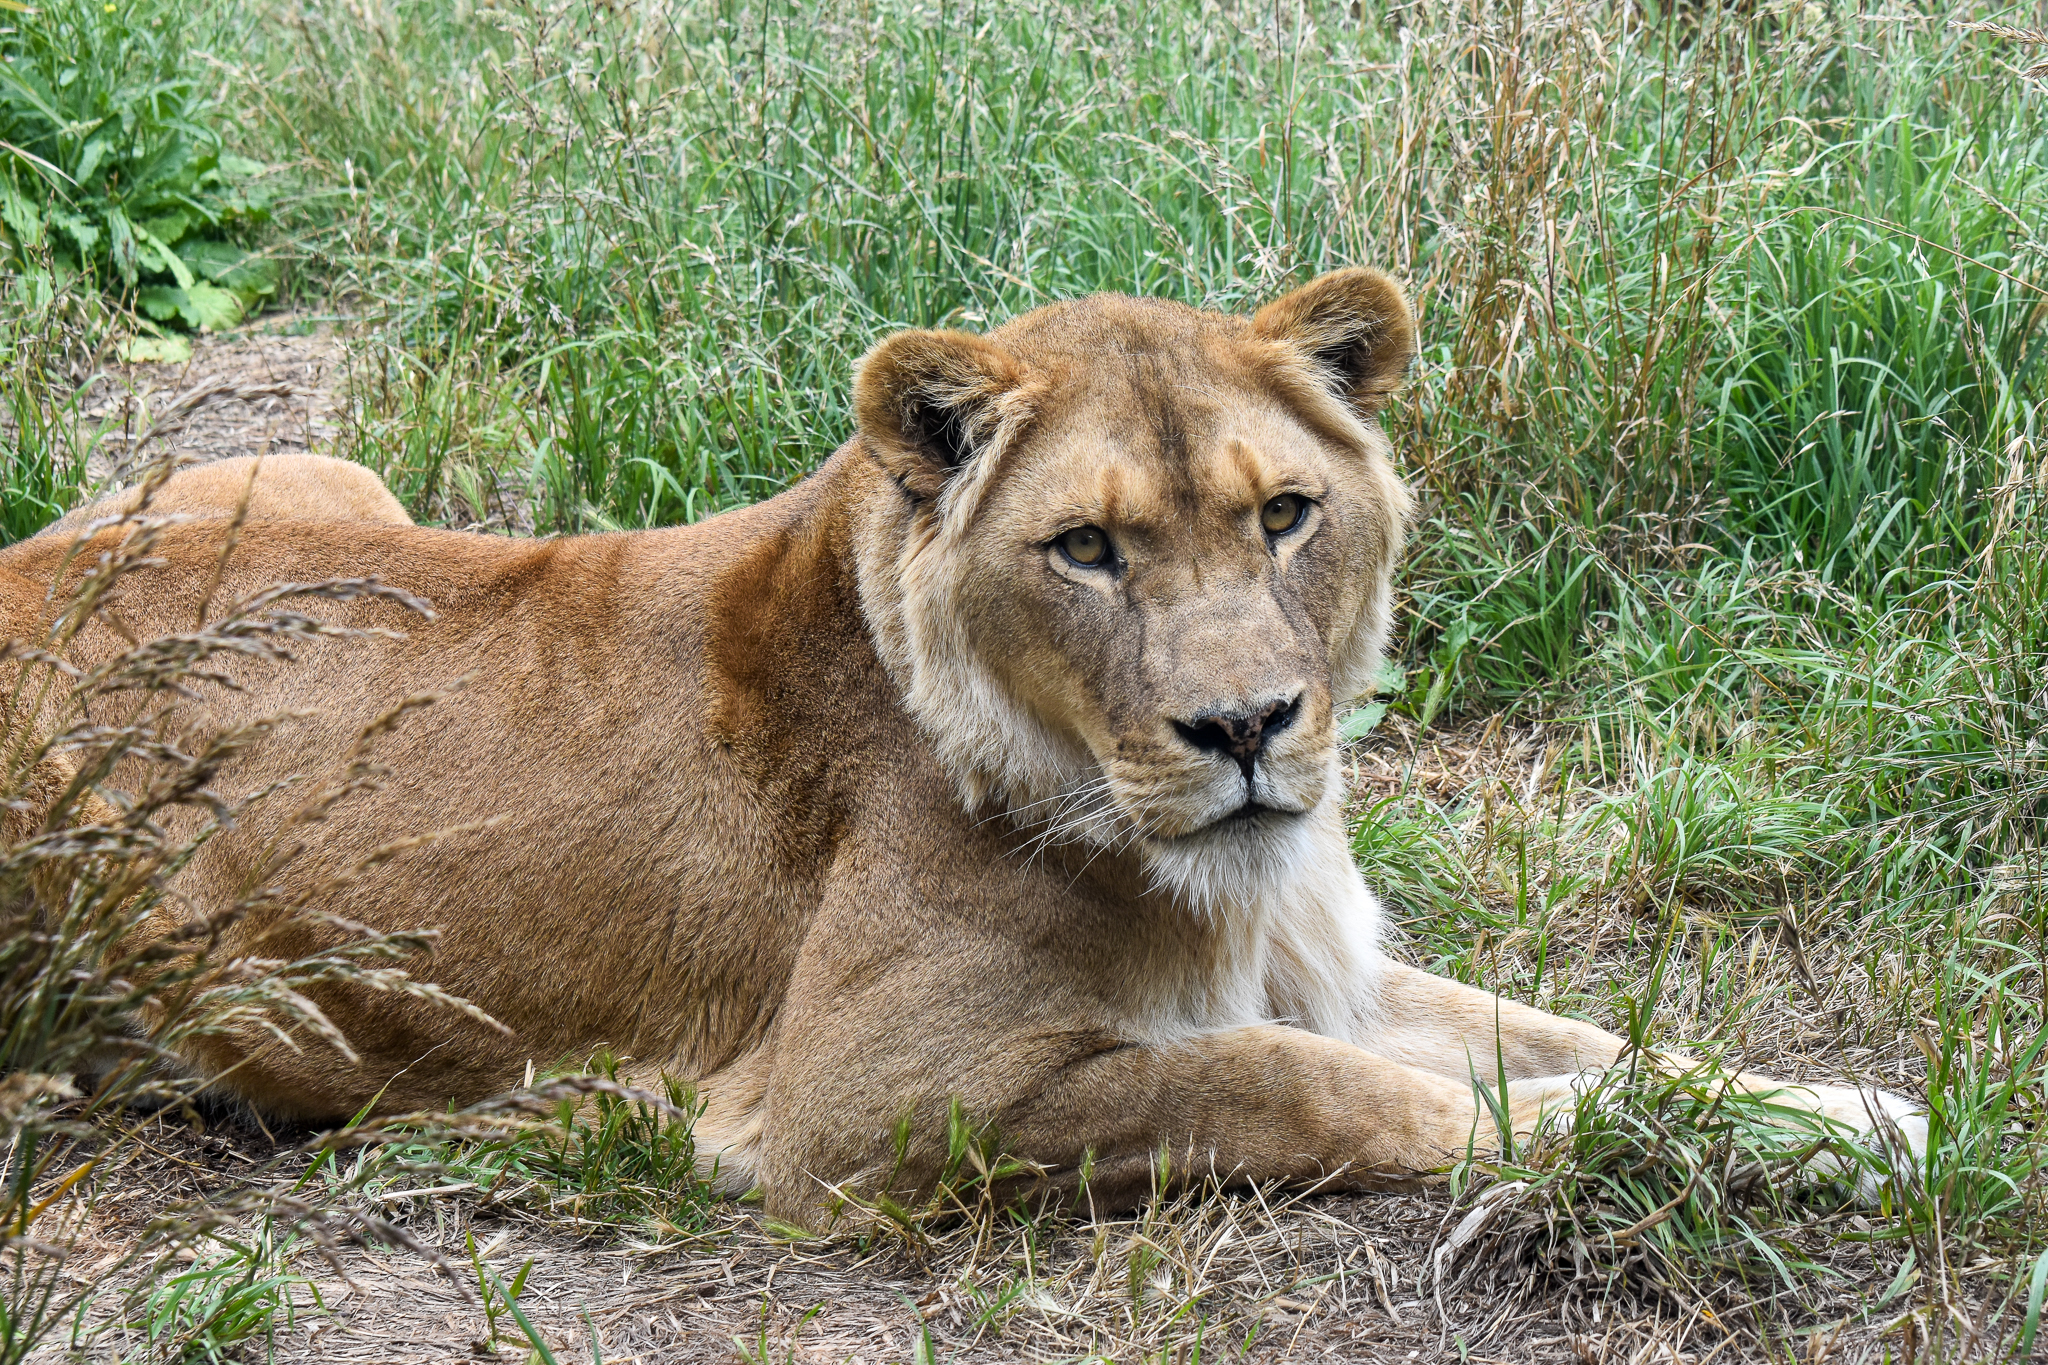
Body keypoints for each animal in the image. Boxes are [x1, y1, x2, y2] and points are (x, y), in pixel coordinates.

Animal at [0, 270, 1923, 1224]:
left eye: (1286, 514)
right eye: (1086, 550)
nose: (1246, 728)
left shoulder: (1332, 965)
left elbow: (1589, 1035)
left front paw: (1844, 1119)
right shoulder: (860, 1107)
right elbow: (1293, 1086)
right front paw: (1611, 1143)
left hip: (308, 475)